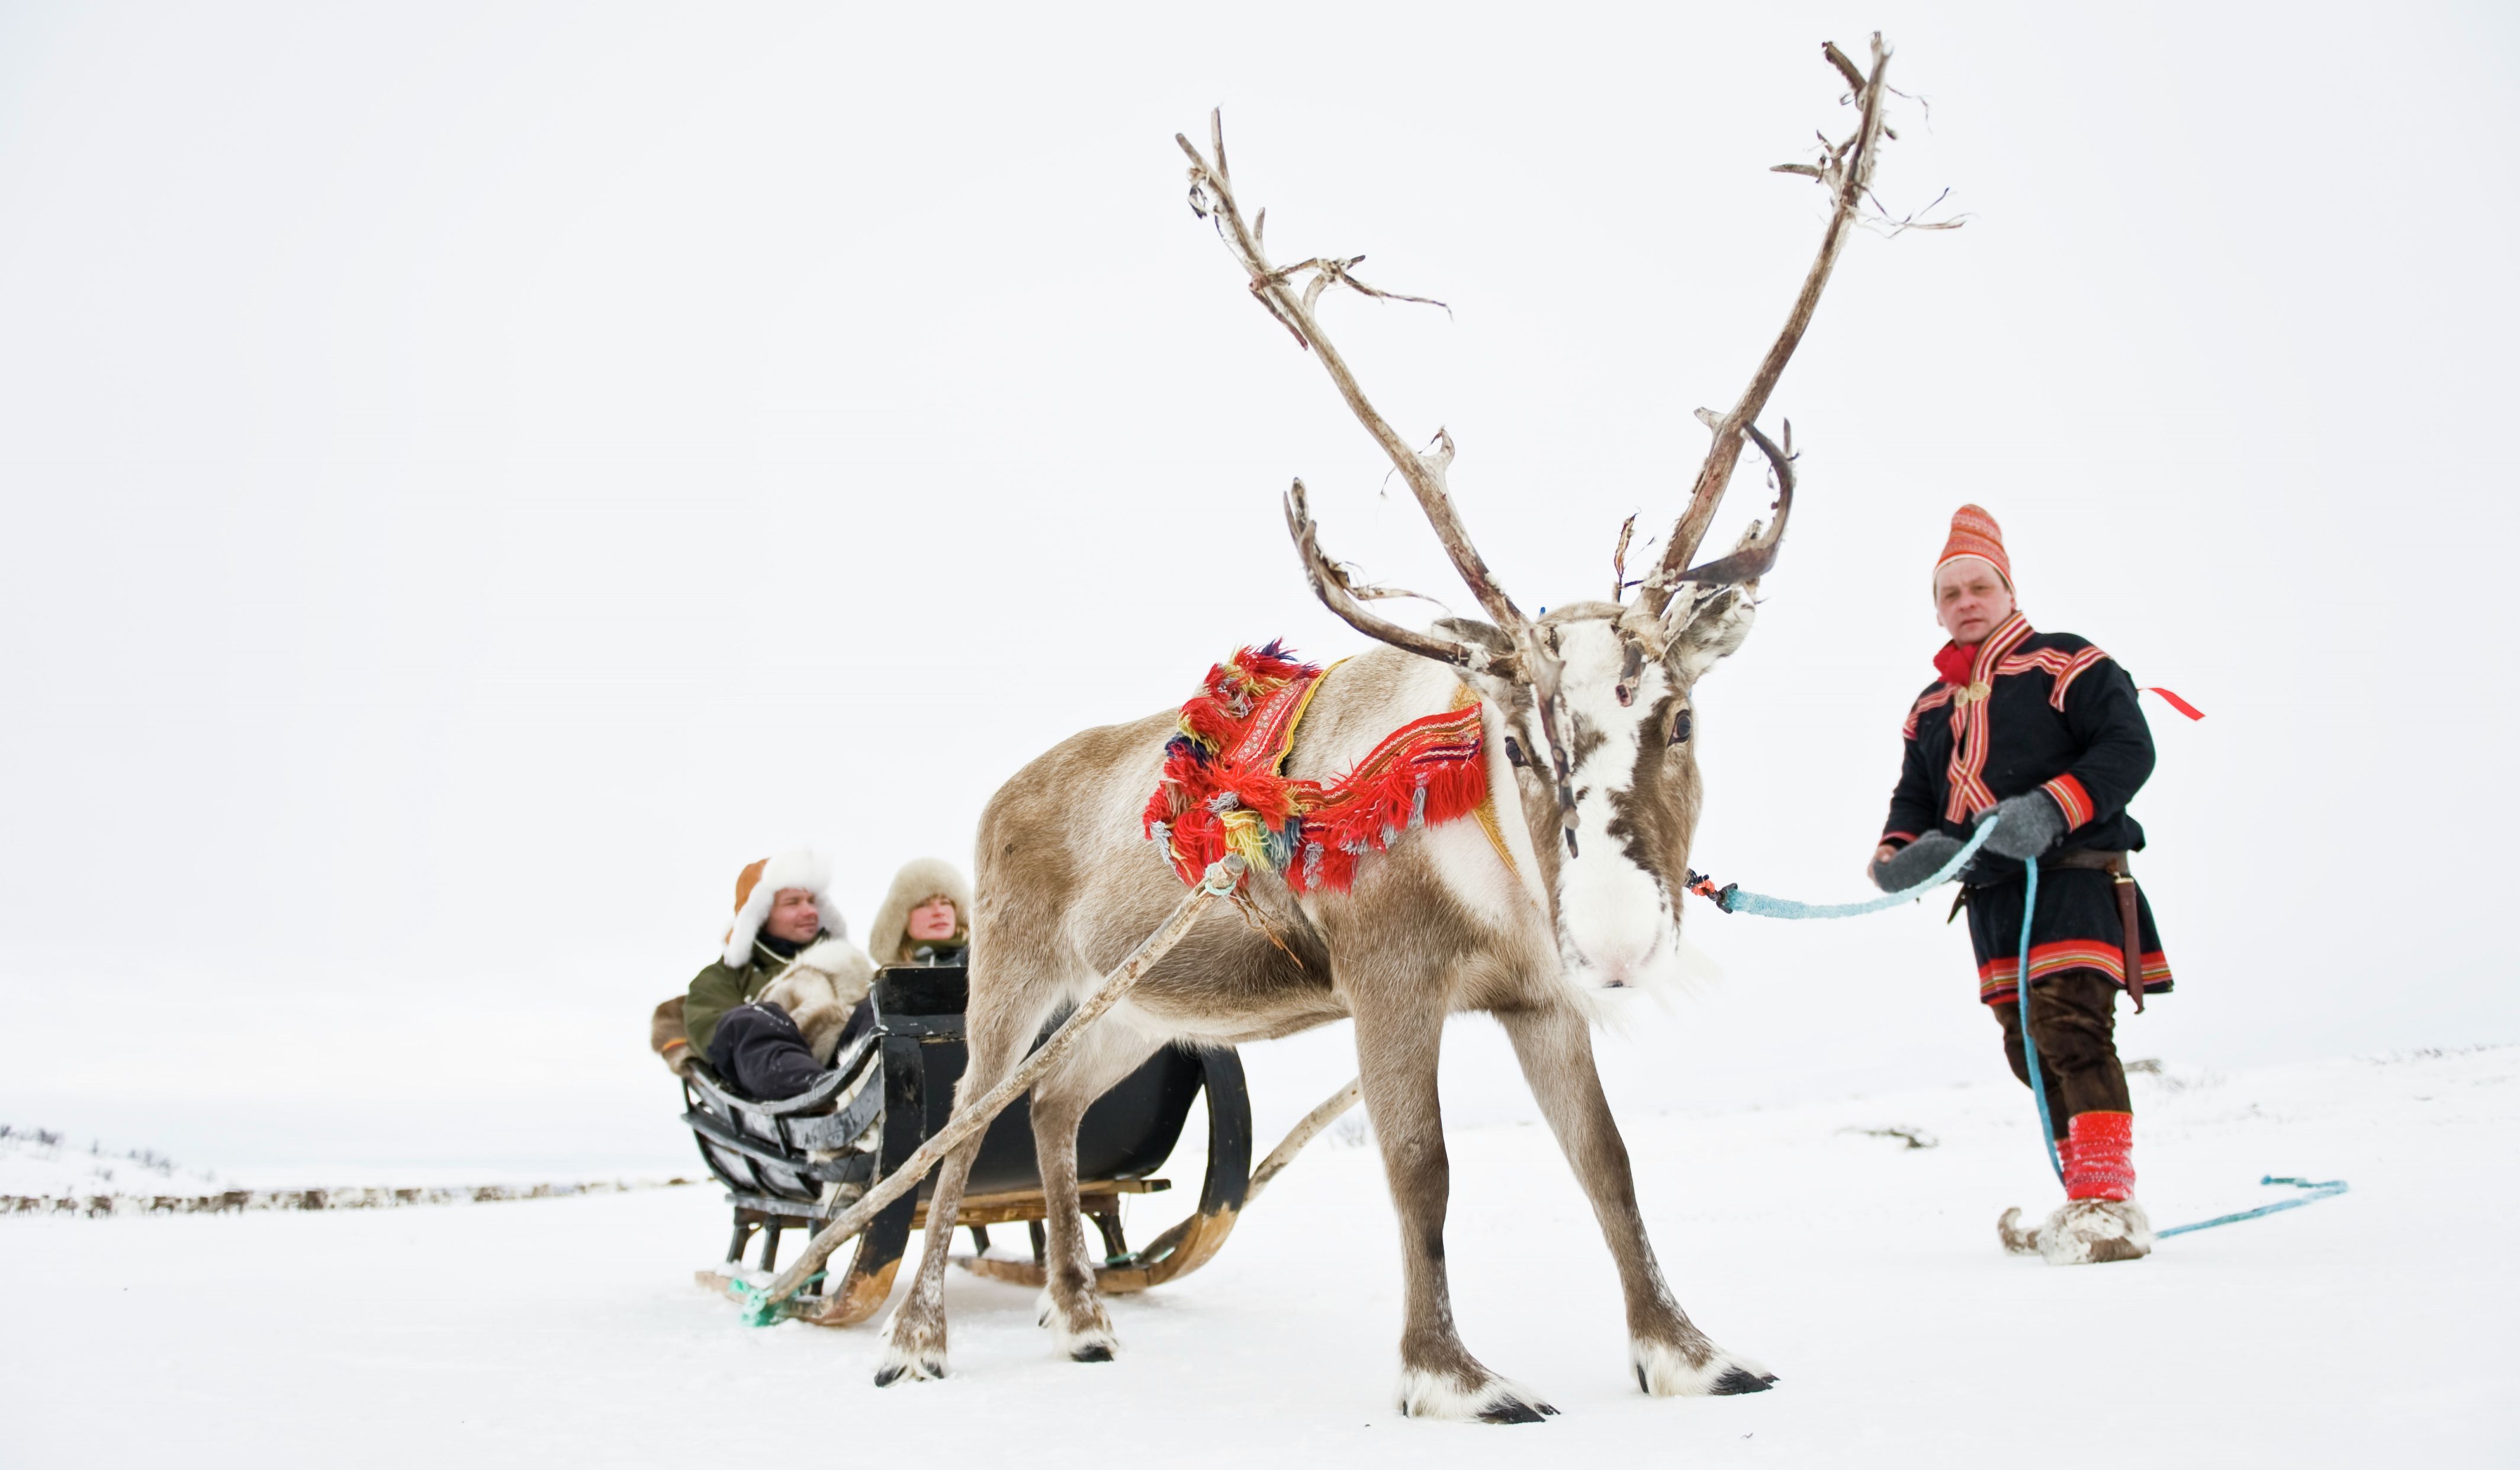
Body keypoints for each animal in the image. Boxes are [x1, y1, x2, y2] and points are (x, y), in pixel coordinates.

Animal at [876, 36, 1917, 1421]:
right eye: (1518, 739)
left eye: (1682, 713)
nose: (1619, 938)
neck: (1488, 863)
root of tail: (1003, 786)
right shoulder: (1388, 979)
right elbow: (1419, 1167)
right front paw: (1454, 1376)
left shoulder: (1536, 996)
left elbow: (1609, 1161)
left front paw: (1689, 1351)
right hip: (1013, 967)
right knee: (960, 1127)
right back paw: (917, 1336)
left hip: (1137, 1005)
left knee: (1051, 1106)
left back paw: (1080, 1313)